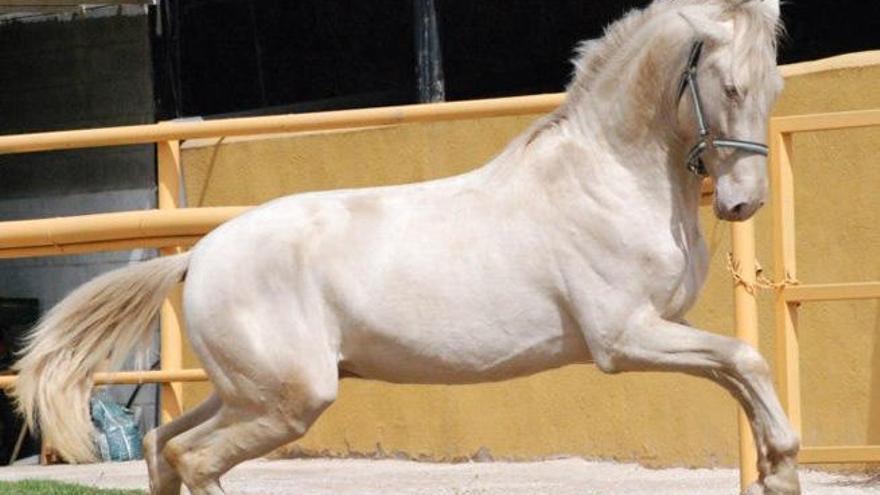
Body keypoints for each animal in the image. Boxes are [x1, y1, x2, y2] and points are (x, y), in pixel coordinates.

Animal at [12, 0, 799, 494]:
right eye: (730, 86)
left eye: (774, 86)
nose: (742, 202)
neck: (607, 175)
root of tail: (198, 256)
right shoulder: (624, 337)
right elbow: (747, 358)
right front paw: (785, 465)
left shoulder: (665, 327)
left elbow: (740, 372)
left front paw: (776, 469)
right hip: (287, 401)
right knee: (193, 457)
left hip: (248, 392)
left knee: (162, 447)